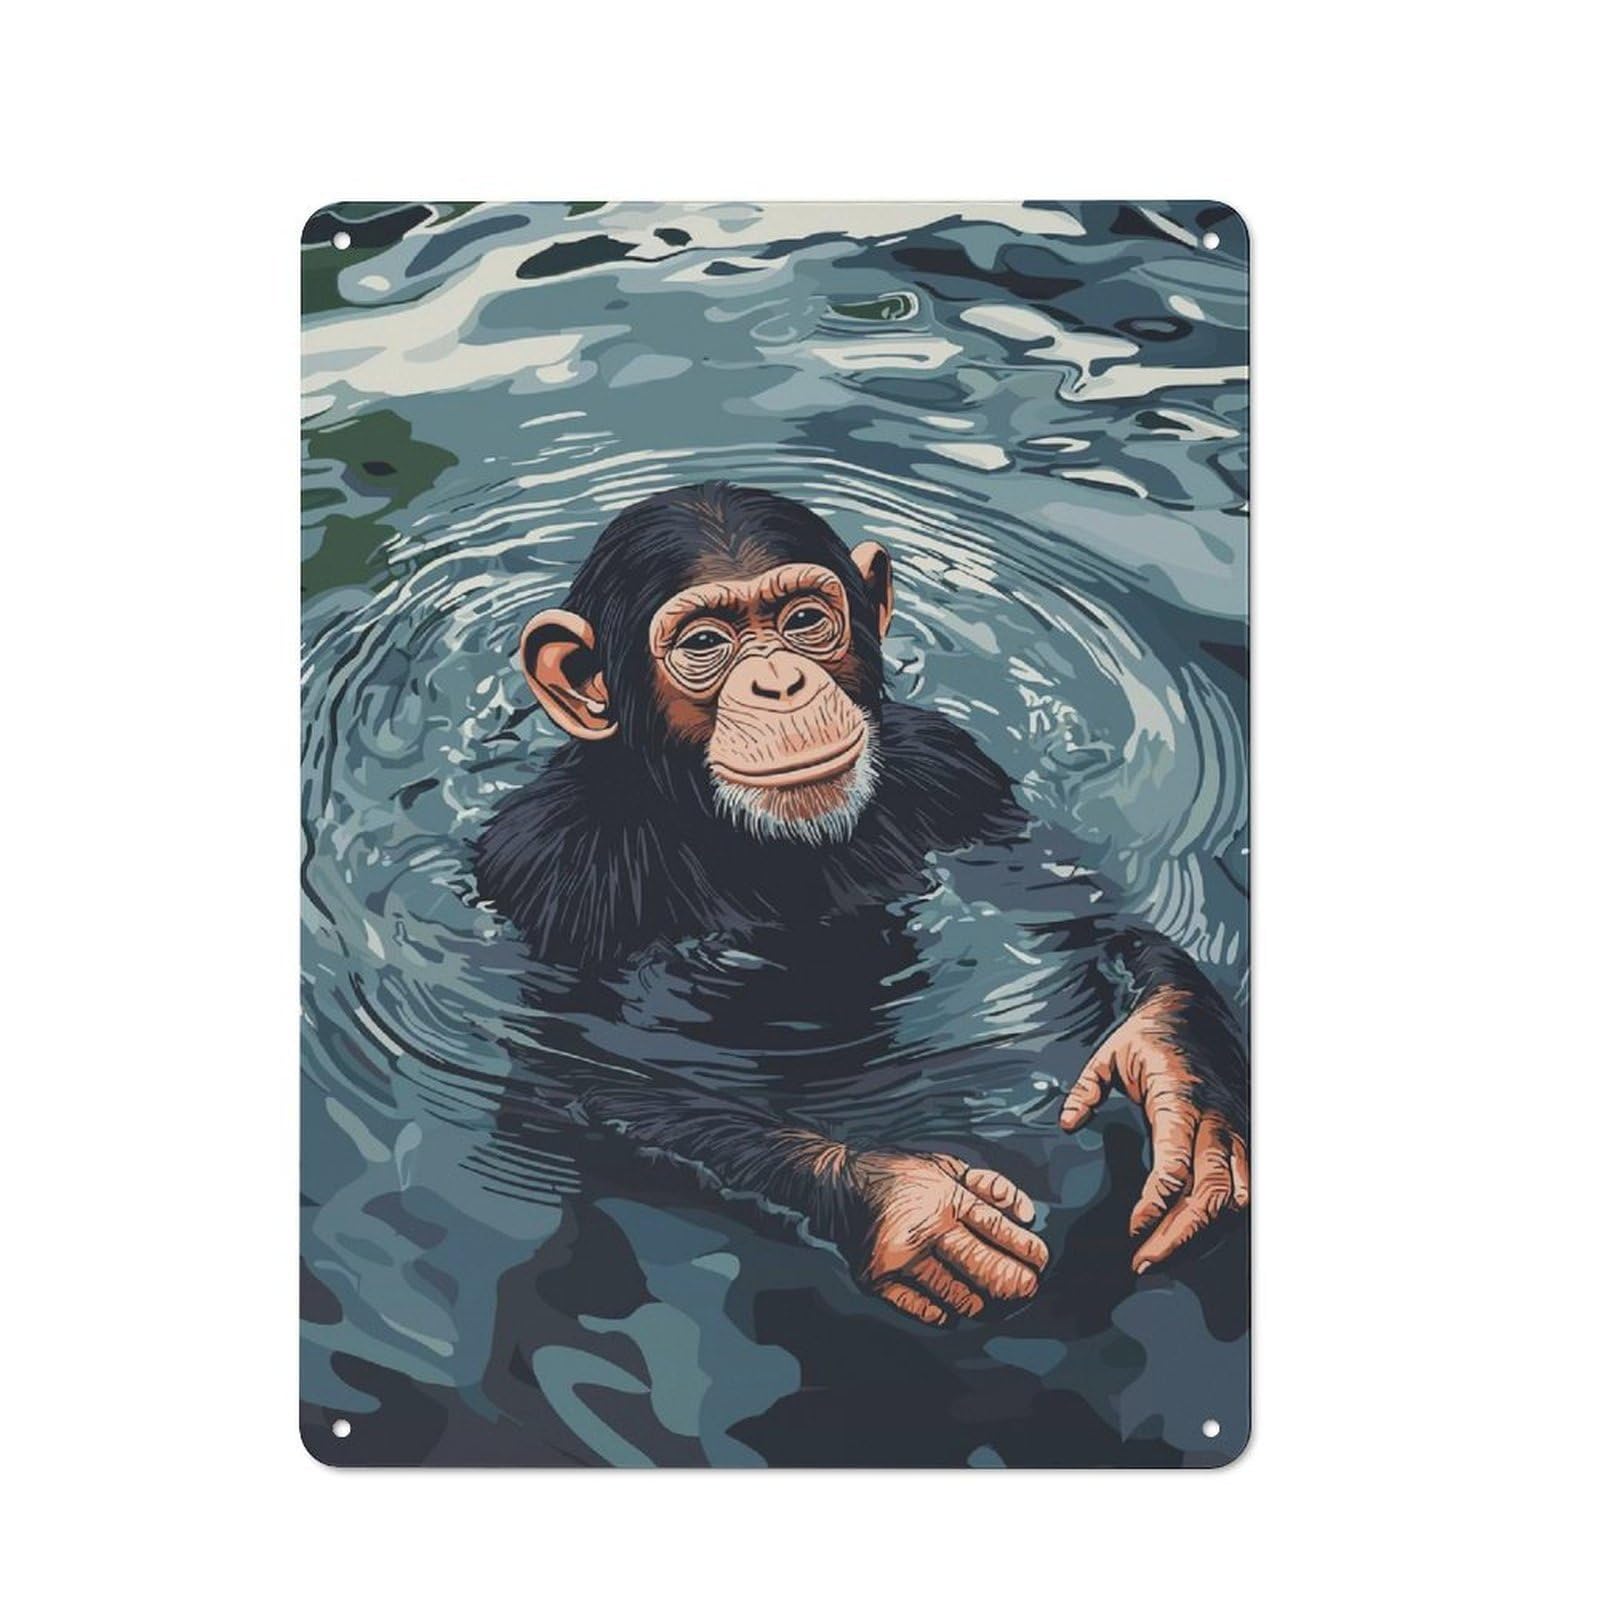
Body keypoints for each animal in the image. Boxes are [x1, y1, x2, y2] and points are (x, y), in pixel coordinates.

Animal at [474, 482, 1248, 1326]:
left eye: (803, 620)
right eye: (706, 641)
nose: (780, 684)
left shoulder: (954, 765)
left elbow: (1067, 899)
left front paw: (1180, 1077)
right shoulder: (552, 865)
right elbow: (576, 1070)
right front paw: (903, 1206)